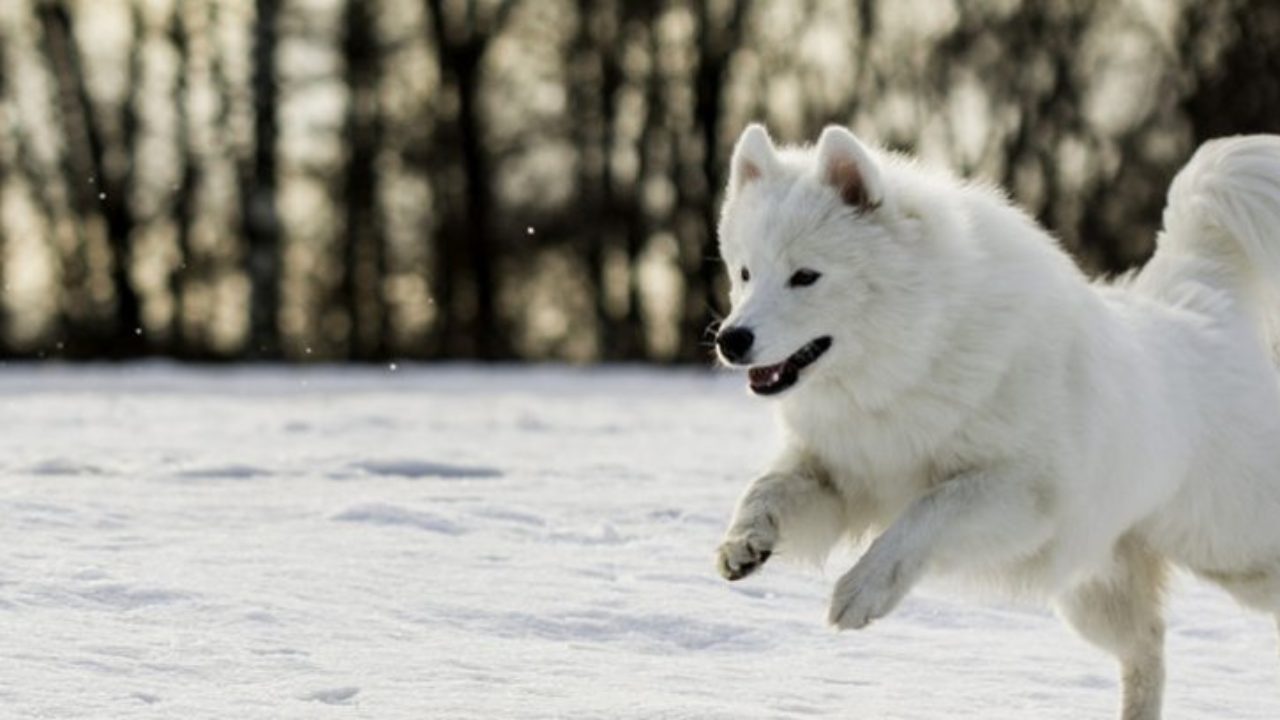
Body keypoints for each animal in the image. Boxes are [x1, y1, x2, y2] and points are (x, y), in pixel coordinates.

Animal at [716, 124, 1280, 717]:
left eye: (805, 276)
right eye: (745, 273)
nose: (730, 340)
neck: (913, 356)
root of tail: (1203, 304)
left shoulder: (1021, 495)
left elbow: (927, 510)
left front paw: (861, 590)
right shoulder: (842, 477)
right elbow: (768, 486)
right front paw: (744, 542)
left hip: (1233, 548)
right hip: (1093, 586)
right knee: (1147, 649)